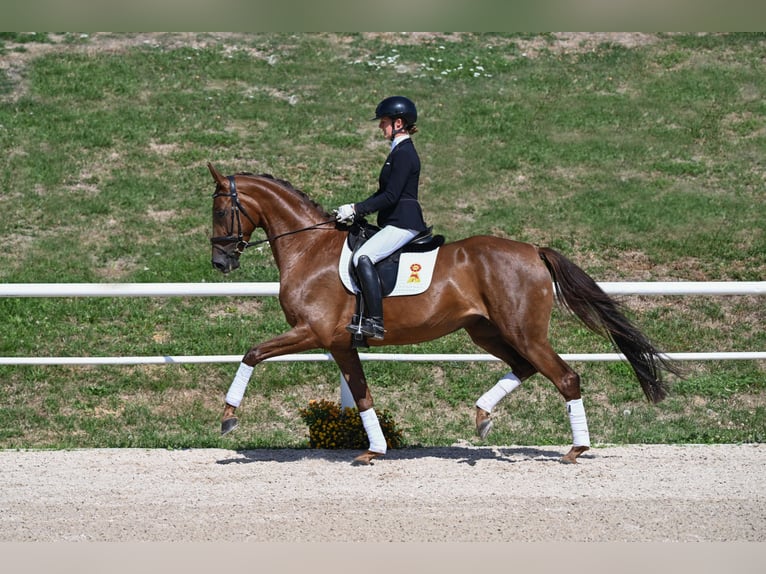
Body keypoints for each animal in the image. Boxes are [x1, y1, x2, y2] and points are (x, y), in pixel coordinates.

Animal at [207, 163, 677, 464]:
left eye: (220, 210)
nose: (220, 262)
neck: (310, 248)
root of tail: (532, 250)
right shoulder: (340, 343)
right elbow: (363, 394)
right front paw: (374, 450)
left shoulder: (313, 332)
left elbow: (252, 353)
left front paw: (229, 418)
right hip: (486, 331)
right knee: (525, 367)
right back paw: (483, 417)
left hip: (522, 331)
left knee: (565, 377)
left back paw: (575, 449)